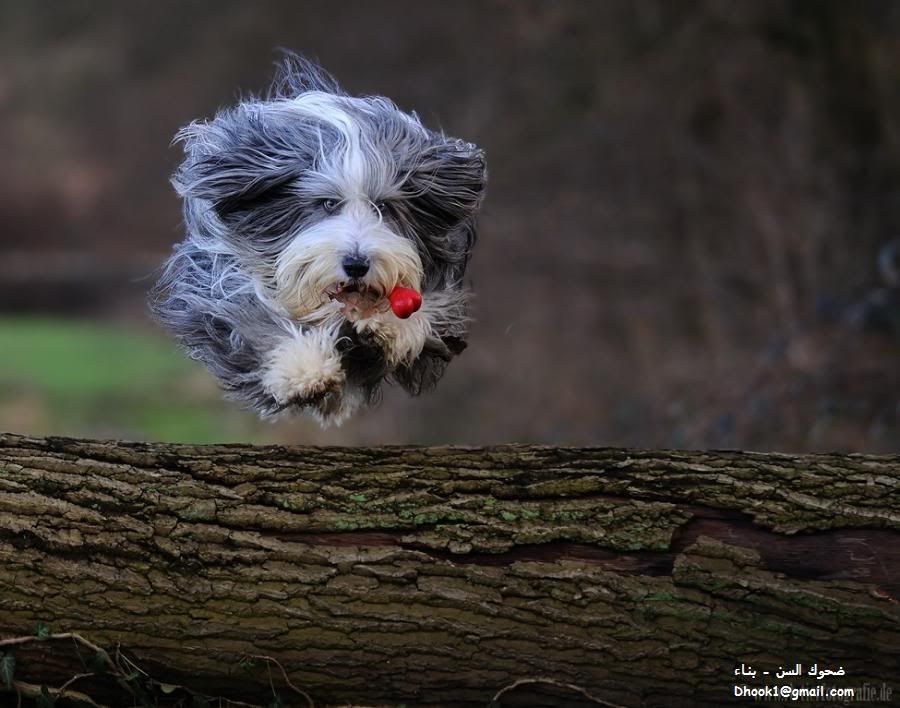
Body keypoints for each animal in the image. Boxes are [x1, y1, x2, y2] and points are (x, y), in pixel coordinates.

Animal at [150, 55, 486, 426]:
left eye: (384, 206)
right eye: (327, 203)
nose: (356, 264)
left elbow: (424, 312)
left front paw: (388, 327)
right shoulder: (219, 278)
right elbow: (252, 317)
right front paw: (304, 369)